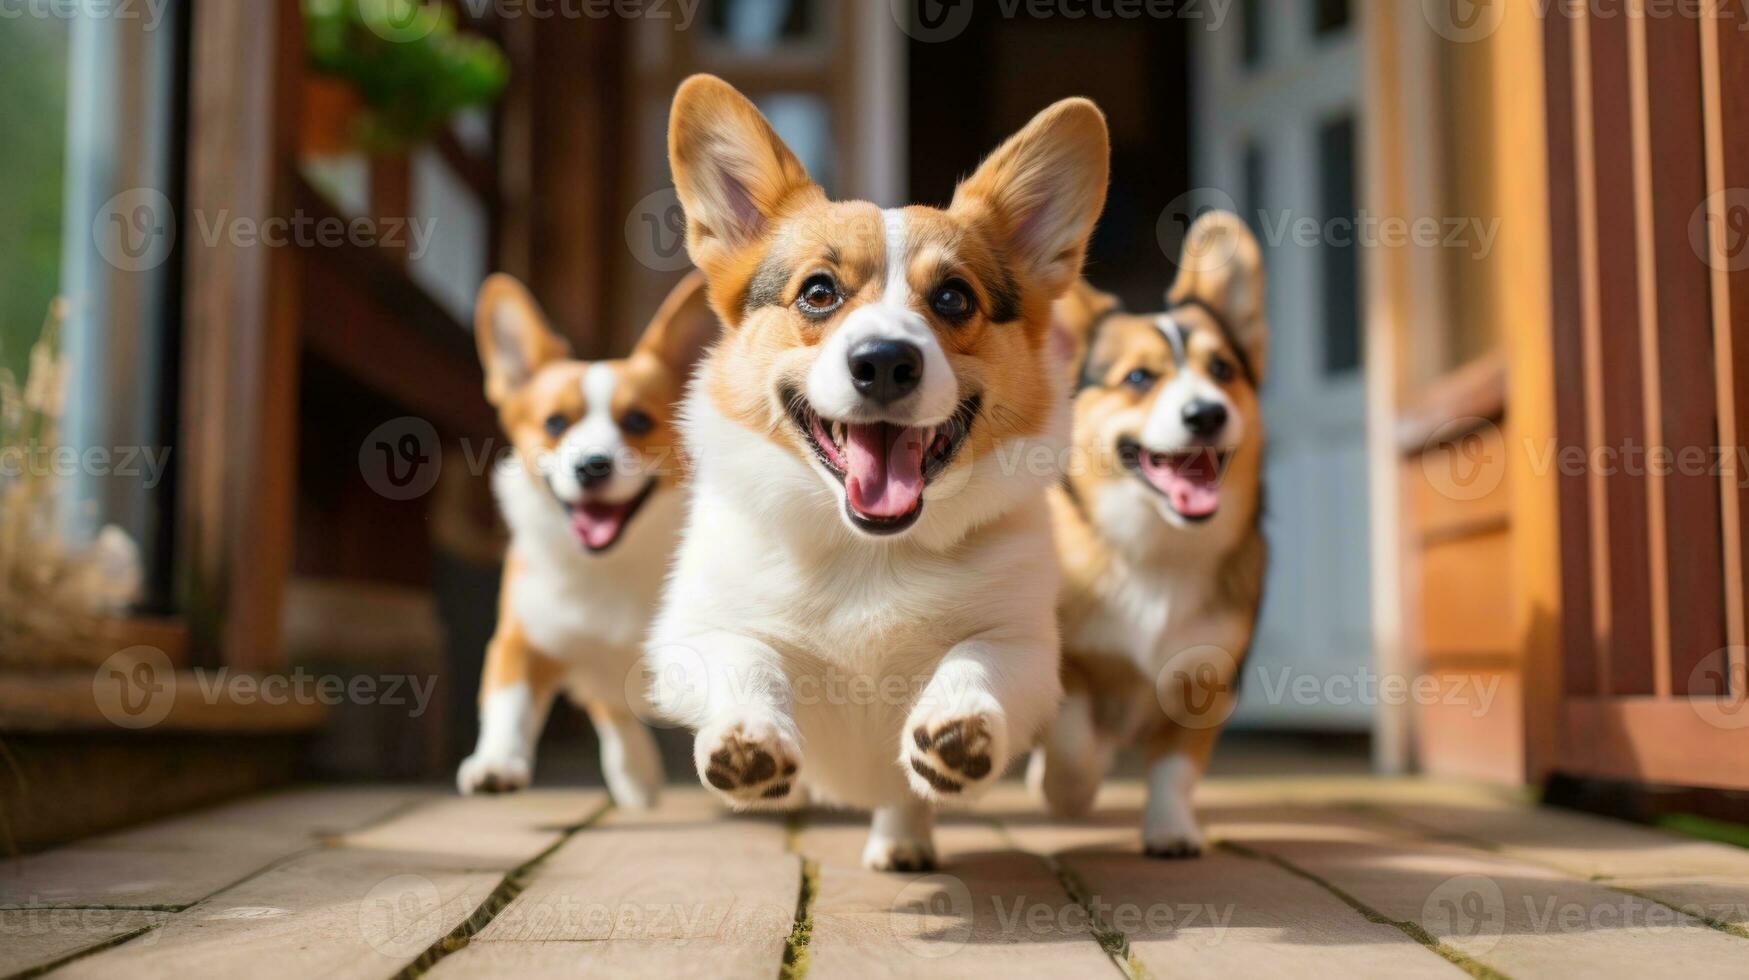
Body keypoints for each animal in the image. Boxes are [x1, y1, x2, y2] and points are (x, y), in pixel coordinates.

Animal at [461, 273, 720, 805]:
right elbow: (510, 705)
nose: (591, 466)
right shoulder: (523, 640)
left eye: (638, 420)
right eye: (555, 423)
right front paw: (496, 763)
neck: (612, 564)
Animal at [643, 78, 1105, 871]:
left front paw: (958, 725)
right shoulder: (691, 635)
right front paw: (746, 740)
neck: (870, 551)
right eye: (819, 292)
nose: (885, 361)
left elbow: (975, 657)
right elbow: (746, 656)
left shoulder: (1021, 643)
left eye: (953, 297)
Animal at [1028, 212, 1266, 857]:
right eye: (1138, 377)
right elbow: (1071, 739)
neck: (1157, 548)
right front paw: (1069, 791)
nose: (1207, 414)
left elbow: (1174, 768)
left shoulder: (1206, 679)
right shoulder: (1069, 664)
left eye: (1222, 371)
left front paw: (1170, 829)